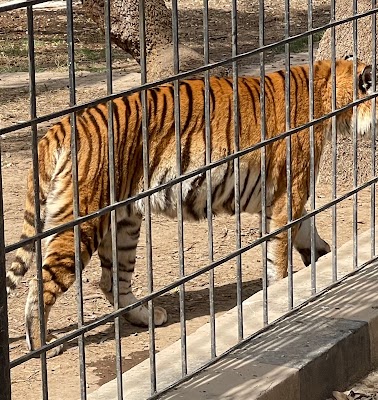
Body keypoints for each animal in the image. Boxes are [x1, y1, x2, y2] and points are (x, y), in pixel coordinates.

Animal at [5, 57, 376, 356]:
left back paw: (145, 316)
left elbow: (308, 235)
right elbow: (280, 254)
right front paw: (282, 295)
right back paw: (42, 345)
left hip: (124, 222)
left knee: (111, 281)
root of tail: (61, 125)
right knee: (40, 283)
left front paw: (323, 264)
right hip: (82, 223)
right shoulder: (289, 194)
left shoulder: (285, 200)